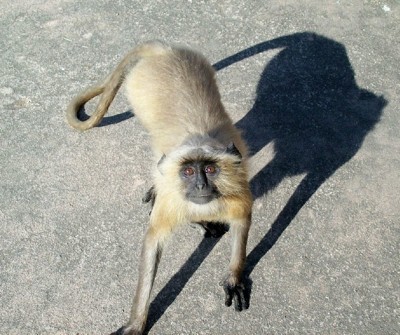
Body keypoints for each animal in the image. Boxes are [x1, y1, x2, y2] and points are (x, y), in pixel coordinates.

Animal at [67, 40, 252, 334]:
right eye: (188, 172)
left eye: (209, 170)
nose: (200, 184)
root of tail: (164, 51)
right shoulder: (172, 199)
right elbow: (153, 242)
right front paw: (136, 323)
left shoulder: (238, 186)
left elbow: (241, 222)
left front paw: (234, 277)